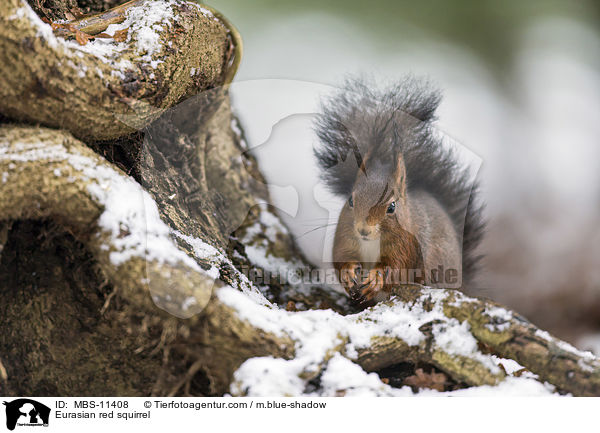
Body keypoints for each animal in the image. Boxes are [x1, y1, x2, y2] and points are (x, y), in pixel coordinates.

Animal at [314, 77, 482, 304]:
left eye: (392, 207)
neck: (371, 242)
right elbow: (341, 258)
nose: (363, 230)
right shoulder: (345, 234)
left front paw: (376, 279)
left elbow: (397, 269)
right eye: (350, 200)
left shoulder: (407, 244)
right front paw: (348, 273)